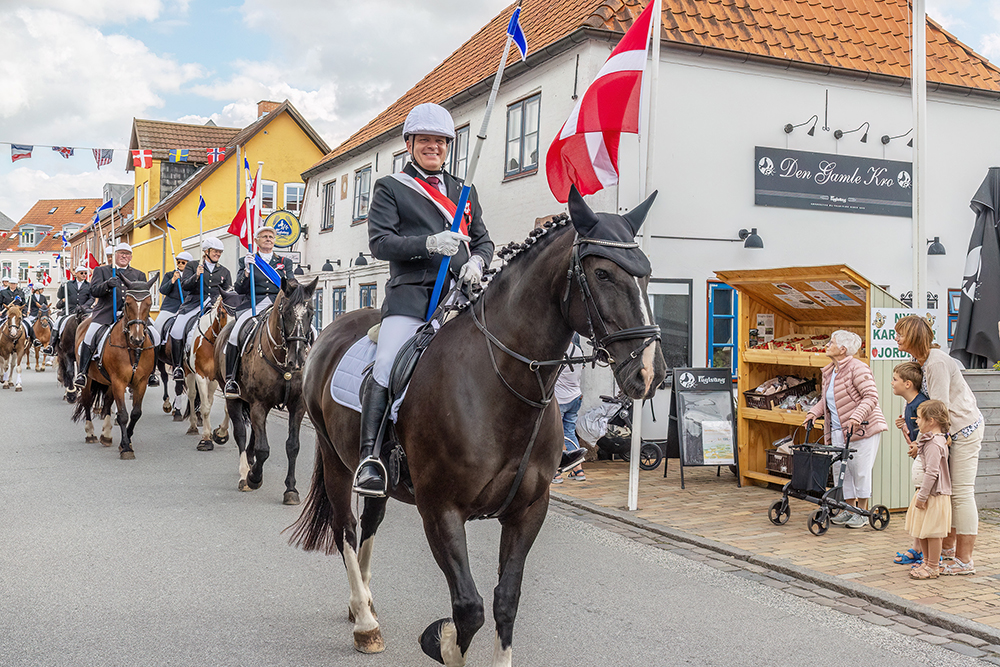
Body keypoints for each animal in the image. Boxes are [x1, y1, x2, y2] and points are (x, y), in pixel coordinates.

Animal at [72, 274, 159, 462]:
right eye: (127, 303)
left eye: (149, 303)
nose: (137, 338)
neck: (133, 349)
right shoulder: (119, 381)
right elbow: (123, 415)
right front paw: (125, 447)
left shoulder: (140, 383)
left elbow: (135, 413)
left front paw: (127, 440)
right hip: (90, 379)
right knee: (87, 401)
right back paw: (91, 433)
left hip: (109, 383)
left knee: (106, 403)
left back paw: (106, 435)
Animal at [214, 280, 316, 504]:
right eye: (286, 312)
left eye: (311, 312)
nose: (298, 360)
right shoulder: (259, 404)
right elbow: (263, 449)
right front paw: (254, 478)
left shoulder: (297, 406)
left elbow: (292, 446)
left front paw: (291, 490)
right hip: (233, 398)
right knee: (241, 432)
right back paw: (245, 472)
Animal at [288, 189, 664, 667]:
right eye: (602, 273)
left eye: (647, 274)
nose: (651, 373)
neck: (500, 383)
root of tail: (332, 330)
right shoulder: (440, 509)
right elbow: (468, 608)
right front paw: (443, 640)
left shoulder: (528, 510)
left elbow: (505, 600)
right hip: (336, 461)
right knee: (347, 530)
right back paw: (365, 623)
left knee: (370, 520)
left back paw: (365, 604)